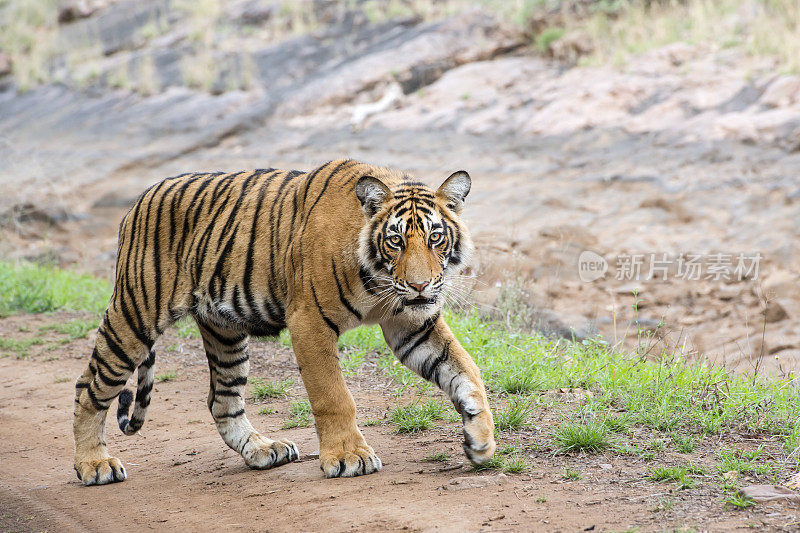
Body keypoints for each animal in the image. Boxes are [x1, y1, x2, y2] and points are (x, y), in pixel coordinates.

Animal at [76, 157, 500, 482]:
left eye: (435, 238)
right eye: (395, 240)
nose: (419, 285)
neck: (380, 281)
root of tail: (139, 199)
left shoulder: (412, 324)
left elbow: (465, 369)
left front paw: (480, 439)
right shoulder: (309, 320)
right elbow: (333, 396)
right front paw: (349, 457)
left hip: (226, 332)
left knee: (221, 400)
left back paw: (264, 450)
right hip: (134, 315)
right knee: (89, 387)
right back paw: (94, 465)